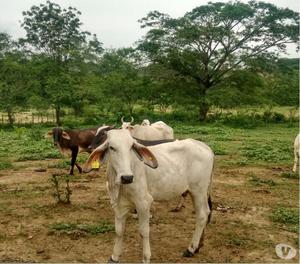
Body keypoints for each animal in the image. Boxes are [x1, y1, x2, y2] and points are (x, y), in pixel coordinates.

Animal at [84, 129, 213, 262]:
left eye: (132, 146)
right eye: (112, 147)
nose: (127, 177)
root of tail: (204, 146)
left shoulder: (144, 203)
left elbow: (144, 232)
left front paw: (146, 257)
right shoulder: (118, 205)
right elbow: (119, 231)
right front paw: (114, 257)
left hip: (199, 191)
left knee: (202, 215)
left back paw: (191, 248)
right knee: (205, 212)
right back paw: (198, 246)